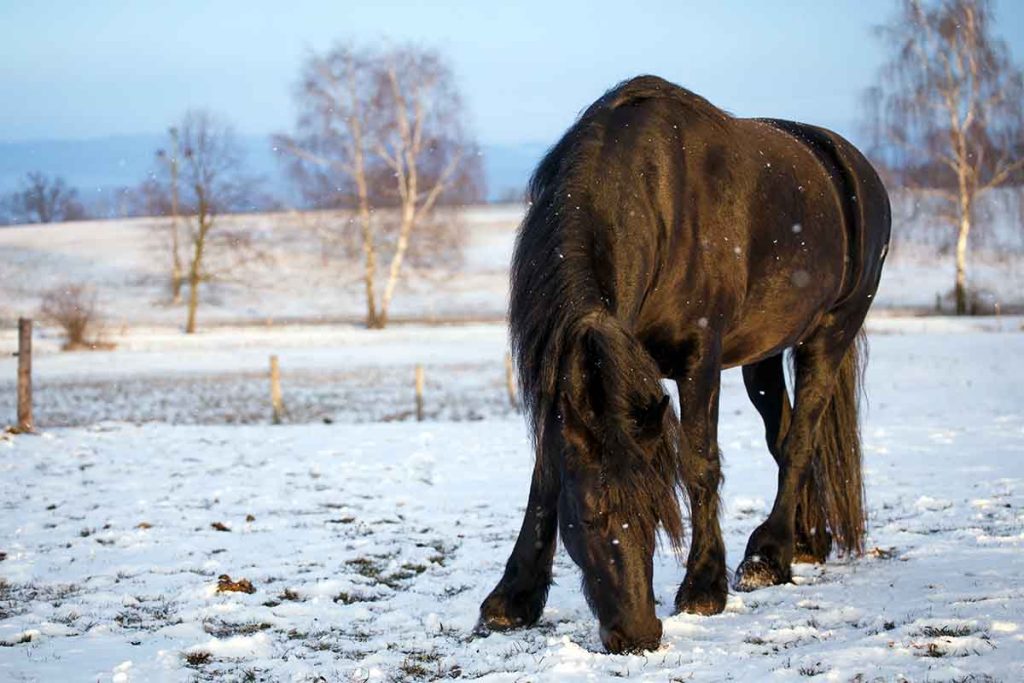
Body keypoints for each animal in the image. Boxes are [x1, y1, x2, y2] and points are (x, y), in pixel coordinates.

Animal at [477, 75, 890, 654]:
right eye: (588, 515)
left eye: (658, 512)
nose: (638, 633)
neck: (649, 197)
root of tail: (851, 163)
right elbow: (546, 476)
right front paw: (512, 598)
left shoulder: (701, 360)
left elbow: (700, 462)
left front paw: (704, 587)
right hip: (763, 358)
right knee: (784, 436)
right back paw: (807, 542)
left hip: (829, 336)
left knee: (801, 437)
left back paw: (768, 556)